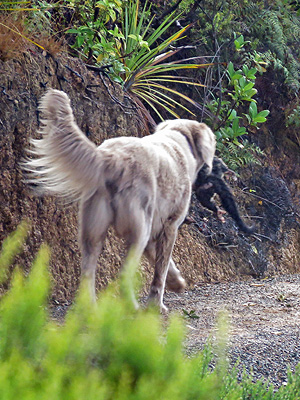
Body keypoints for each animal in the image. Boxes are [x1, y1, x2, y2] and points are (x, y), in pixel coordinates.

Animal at [23, 89, 216, 310]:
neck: (179, 140)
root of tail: (111, 158)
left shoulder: (155, 231)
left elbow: (165, 265)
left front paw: (177, 282)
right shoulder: (170, 226)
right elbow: (161, 269)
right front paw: (157, 305)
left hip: (93, 231)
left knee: (87, 272)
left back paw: (89, 307)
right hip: (139, 230)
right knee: (124, 274)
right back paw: (132, 307)